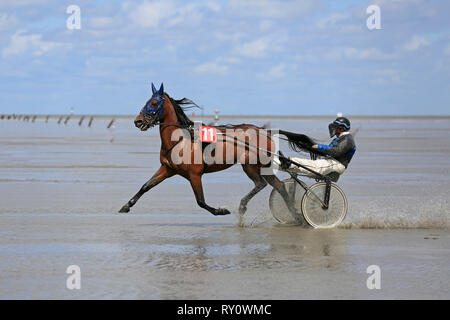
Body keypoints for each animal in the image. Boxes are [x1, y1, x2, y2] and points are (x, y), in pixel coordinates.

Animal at [118, 83, 298, 218]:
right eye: (147, 101)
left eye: (154, 103)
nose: (138, 121)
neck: (180, 140)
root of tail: (265, 131)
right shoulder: (167, 169)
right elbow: (146, 186)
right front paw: (126, 206)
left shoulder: (194, 174)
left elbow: (200, 201)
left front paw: (221, 211)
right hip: (262, 166)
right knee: (279, 186)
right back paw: (295, 216)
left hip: (250, 164)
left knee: (261, 184)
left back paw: (242, 207)